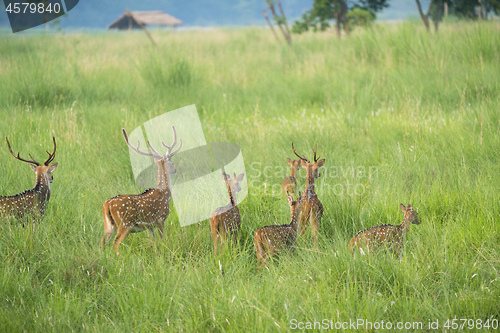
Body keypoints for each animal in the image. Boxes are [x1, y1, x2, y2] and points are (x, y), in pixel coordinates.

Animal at [101, 124, 182, 254]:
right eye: (172, 163)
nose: (175, 170)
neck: (165, 193)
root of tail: (107, 204)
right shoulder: (161, 218)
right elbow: (162, 239)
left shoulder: (149, 226)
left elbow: (154, 242)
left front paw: (157, 254)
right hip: (125, 223)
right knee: (116, 242)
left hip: (109, 225)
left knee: (103, 241)